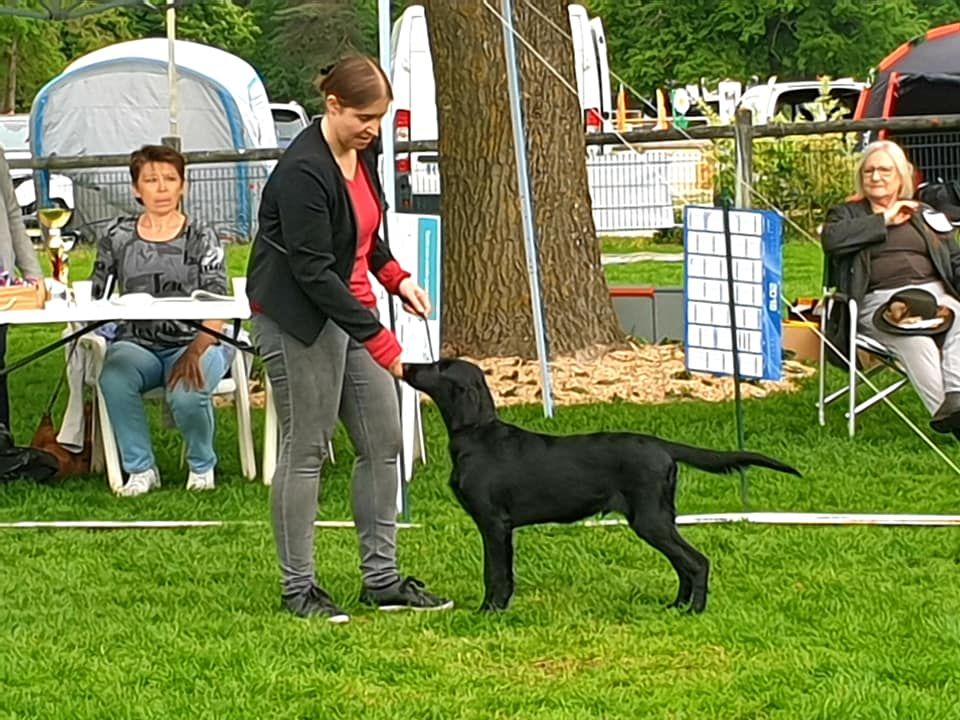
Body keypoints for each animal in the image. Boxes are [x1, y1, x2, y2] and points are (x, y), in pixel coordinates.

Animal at [404, 360, 804, 612]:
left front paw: (489, 611)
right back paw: (676, 606)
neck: (477, 436)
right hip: (656, 519)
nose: (406, 365)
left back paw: (694, 610)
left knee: (696, 562)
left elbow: (495, 573)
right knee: (684, 564)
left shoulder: (493, 523)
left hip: (650, 520)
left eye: (438, 366)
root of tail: (662, 445)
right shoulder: (502, 528)